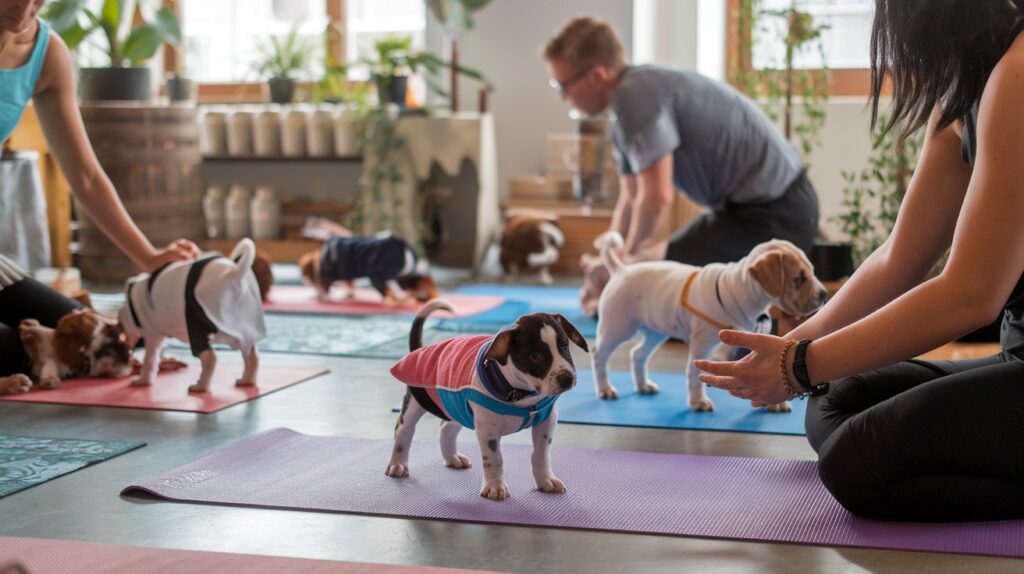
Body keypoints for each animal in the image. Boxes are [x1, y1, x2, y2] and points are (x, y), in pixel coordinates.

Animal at [117, 238, 268, 392]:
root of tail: (235, 274)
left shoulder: (153, 336)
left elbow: (149, 360)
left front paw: (143, 381)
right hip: (235, 333)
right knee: (252, 356)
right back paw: (247, 380)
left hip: (197, 327)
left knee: (210, 358)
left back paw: (200, 386)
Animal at [385, 302, 593, 499]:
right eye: (536, 356)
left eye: (564, 347)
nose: (567, 379)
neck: (521, 393)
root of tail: (419, 349)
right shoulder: (487, 429)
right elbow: (494, 458)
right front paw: (495, 486)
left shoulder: (547, 420)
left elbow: (541, 455)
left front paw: (545, 480)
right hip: (416, 402)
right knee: (404, 430)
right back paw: (398, 464)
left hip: (455, 406)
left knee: (446, 428)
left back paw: (452, 458)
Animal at [589, 231, 827, 411]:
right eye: (799, 279)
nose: (824, 295)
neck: (741, 288)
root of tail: (622, 270)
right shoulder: (702, 344)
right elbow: (695, 374)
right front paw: (698, 402)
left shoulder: (755, 343)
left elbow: (768, 369)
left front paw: (772, 403)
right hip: (617, 328)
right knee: (599, 355)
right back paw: (604, 389)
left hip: (656, 331)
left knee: (638, 354)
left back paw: (643, 385)